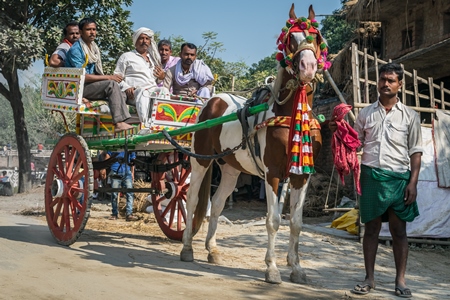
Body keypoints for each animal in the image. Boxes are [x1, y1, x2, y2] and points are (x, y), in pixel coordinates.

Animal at [181, 4, 328, 284]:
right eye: (290, 39)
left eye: (316, 37)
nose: (308, 67)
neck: (288, 114)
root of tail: (212, 101)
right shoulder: (272, 173)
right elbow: (273, 220)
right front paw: (272, 268)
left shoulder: (302, 174)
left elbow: (296, 222)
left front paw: (297, 268)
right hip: (200, 161)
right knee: (193, 200)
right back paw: (187, 248)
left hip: (230, 169)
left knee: (217, 203)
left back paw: (212, 249)